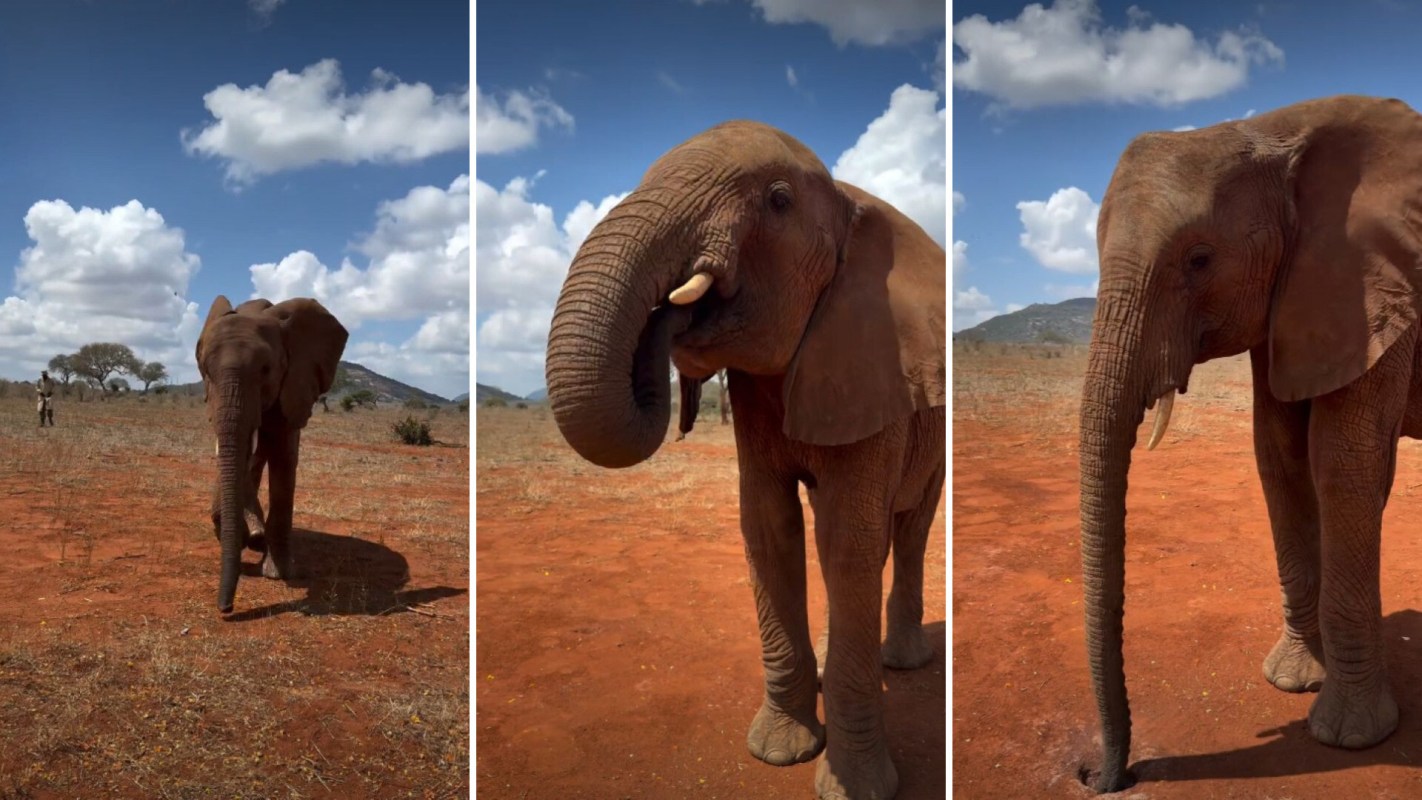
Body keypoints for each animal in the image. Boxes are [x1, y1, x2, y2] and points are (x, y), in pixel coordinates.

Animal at [195, 295, 348, 614]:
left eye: (266, 370)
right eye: (206, 372)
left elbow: (284, 459)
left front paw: (277, 573)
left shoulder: (295, 383)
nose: (226, 609)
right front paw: (247, 536)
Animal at [544, 120, 945, 800]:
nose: (669, 315)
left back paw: (903, 659)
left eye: (778, 201)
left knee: (909, 530)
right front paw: (780, 751)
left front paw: (856, 787)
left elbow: (848, 541)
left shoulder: (873, 366)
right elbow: (768, 527)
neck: (849, 200)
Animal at [1079, 94, 1422, 792]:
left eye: (1199, 260)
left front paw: (1349, 737)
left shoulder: (1376, 287)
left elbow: (1342, 464)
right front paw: (1292, 680)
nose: (1102, 777)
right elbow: (1280, 455)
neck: (1270, 128)